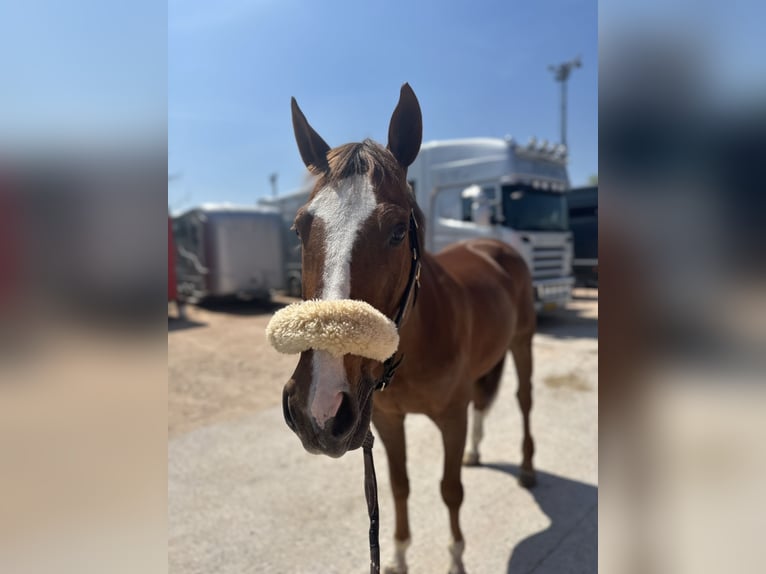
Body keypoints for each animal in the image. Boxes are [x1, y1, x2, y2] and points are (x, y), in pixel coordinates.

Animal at [278, 85, 540, 574]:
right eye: (300, 228)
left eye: (399, 230)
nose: (317, 410)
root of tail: (494, 244)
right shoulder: (385, 421)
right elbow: (397, 487)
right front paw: (398, 555)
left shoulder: (451, 419)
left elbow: (450, 490)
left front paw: (455, 559)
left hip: (523, 343)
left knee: (523, 400)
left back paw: (529, 468)